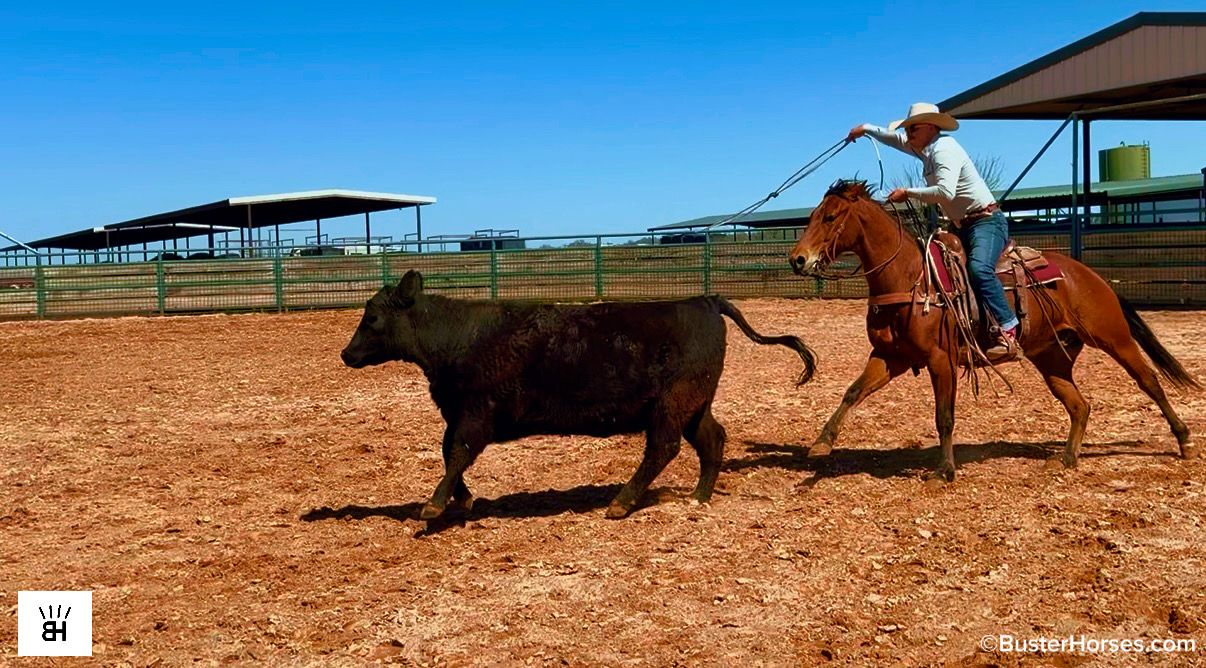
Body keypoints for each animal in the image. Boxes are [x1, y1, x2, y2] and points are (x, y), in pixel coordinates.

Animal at [340, 270, 816, 520]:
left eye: (373, 317)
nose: (346, 354)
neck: (459, 336)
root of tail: (704, 300)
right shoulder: (459, 412)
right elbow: (448, 453)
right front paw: (464, 498)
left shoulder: (475, 413)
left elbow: (457, 453)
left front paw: (434, 505)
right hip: (694, 404)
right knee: (711, 440)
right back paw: (698, 496)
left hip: (671, 404)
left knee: (662, 447)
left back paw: (621, 502)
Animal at [788, 179, 1198, 483]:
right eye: (813, 215)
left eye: (830, 217)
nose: (798, 260)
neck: (911, 278)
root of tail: (1091, 277)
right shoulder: (890, 358)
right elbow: (853, 391)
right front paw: (822, 442)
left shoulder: (941, 360)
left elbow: (944, 416)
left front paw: (944, 471)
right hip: (1053, 359)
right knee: (1080, 405)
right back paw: (1066, 458)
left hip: (1114, 339)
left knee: (1149, 381)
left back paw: (1184, 441)